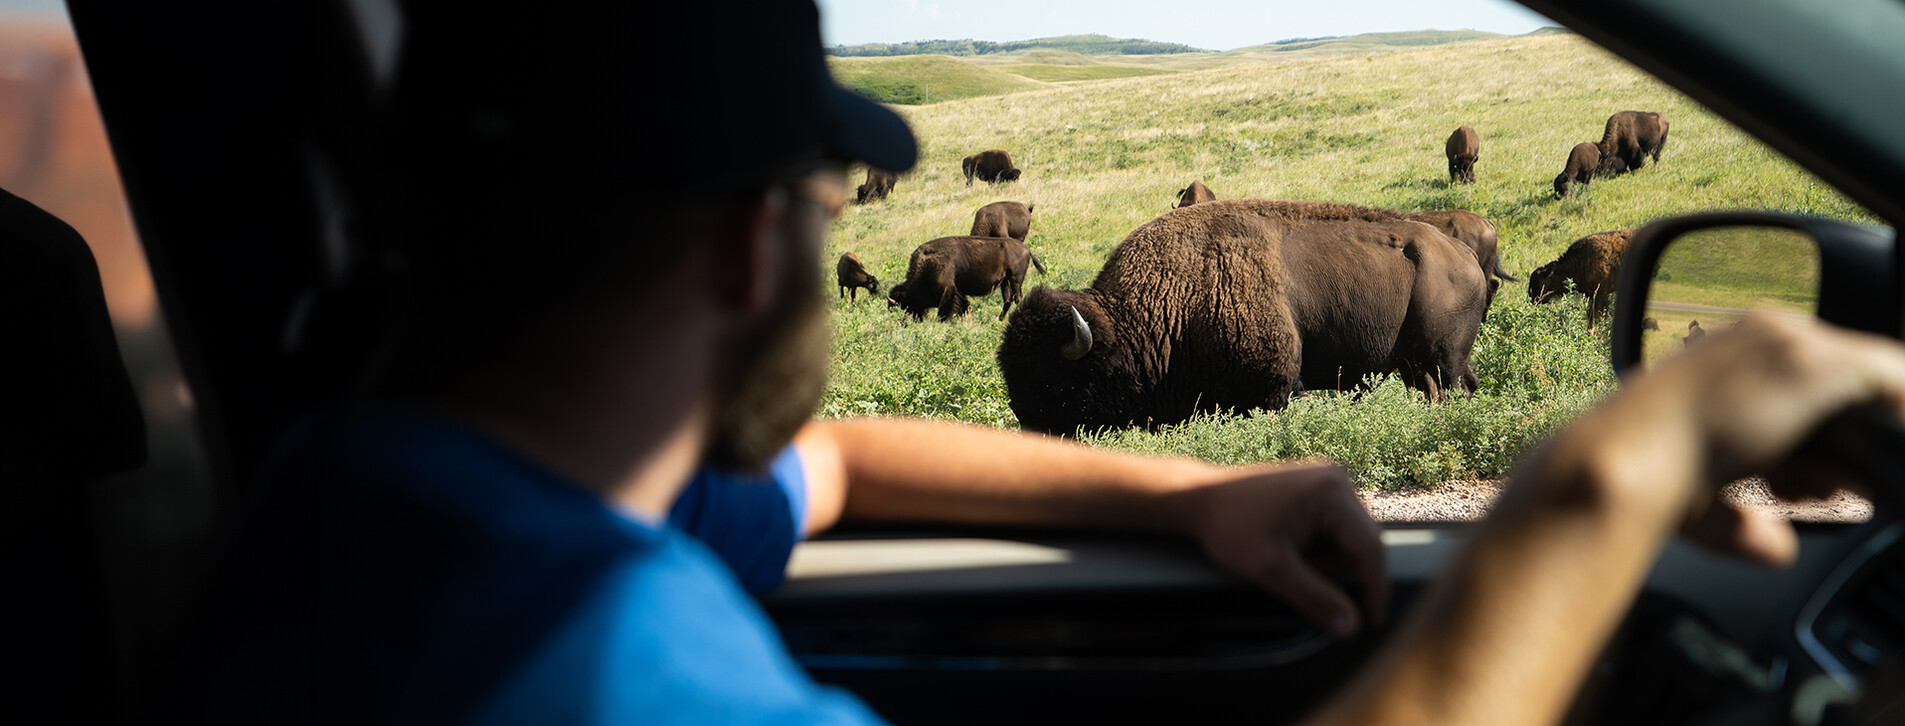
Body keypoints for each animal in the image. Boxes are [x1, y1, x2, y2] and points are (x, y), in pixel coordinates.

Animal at [887, 234, 1051, 320]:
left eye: (906, 305)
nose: (909, 321)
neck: (927, 264)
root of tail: (1026, 248)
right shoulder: (958, 292)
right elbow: (963, 306)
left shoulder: (948, 291)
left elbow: (944, 310)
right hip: (1005, 282)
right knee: (1008, 300)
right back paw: (1000, 319)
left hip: (1015, 279)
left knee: (1017, 298)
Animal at [998, 198, 1485, 432]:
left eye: (1049, 380)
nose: (1026, 423)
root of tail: (1464, 256)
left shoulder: (1273, 387)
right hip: (1415, 365)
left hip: (1443, 359)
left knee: (1454, 388)